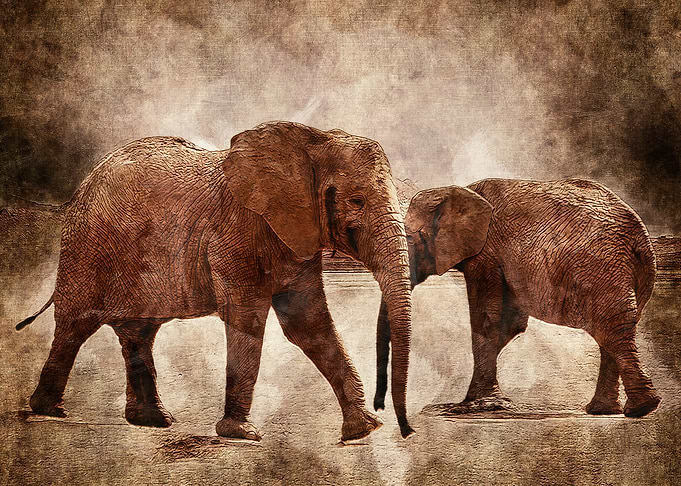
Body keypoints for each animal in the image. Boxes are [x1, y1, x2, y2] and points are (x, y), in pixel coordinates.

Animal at [16, 121, 415, 441]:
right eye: (357, 200)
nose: (406, 430)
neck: (312, 141)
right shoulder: (233, 233)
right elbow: (248, 320)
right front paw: (242, 434)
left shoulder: (295, 239)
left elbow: (310, 325)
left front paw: (363, 430)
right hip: (87, 247)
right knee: (76, 325)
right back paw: (50, 410)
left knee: (139, 332)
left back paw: (153, 421)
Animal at [374, 178, 661, 419]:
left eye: (411, 240)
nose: (380, 409)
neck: (461, 191)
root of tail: (638, 235)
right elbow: (509, 325)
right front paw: (481, 402)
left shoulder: (487, 254)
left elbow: (488, 322)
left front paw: (476, 406)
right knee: (614, 333)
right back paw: (608, 410)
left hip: (601, 270)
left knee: (611, 332)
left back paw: (639, 409)